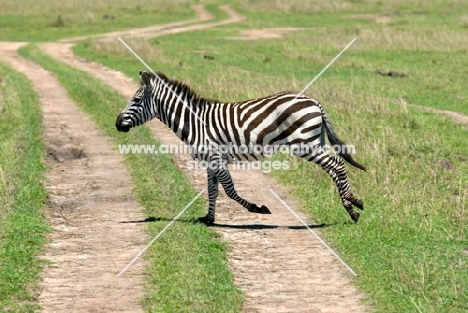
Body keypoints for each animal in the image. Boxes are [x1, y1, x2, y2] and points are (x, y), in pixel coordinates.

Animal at [117, 70, 366, 224]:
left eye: (136, 101)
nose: (117, 123)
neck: (195, 123)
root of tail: (314, 101)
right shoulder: (211, 161)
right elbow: (213, 190)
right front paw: (209, 219)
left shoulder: (216, 158)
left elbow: (229, 190)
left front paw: (257, 208)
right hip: (315, 142)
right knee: (333, 167)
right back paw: (352, 205)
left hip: (305, 144)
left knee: (337, 164)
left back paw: (353, 204)